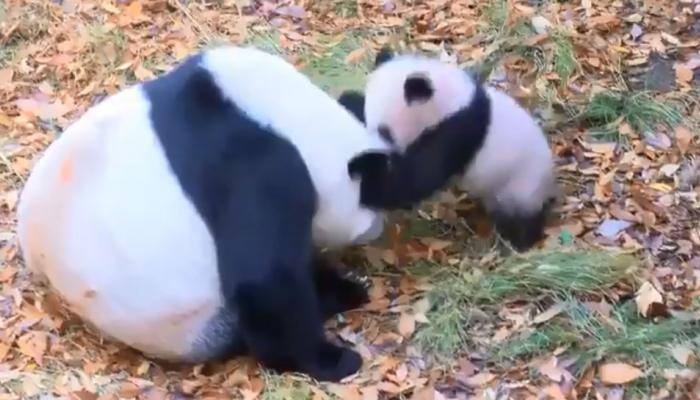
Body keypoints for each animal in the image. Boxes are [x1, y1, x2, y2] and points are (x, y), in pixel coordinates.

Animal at [17, 43, 394, 382]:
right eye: (371, 207)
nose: (377, 229)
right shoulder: (254, 167)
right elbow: (266, 277)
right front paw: (331, 360)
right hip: (188, 322)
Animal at [340, 48, 556, 252]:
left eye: (385, 133)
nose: (377, 149)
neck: (453, 100)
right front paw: (349, 101)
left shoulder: (457, 130)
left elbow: (418, 178)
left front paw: (364, 170)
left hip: (521, 184)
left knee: (522, 218)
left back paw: (518, 242)